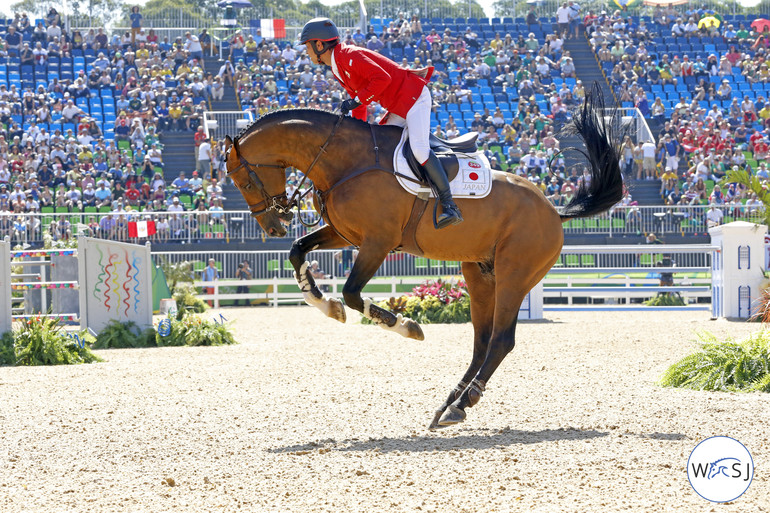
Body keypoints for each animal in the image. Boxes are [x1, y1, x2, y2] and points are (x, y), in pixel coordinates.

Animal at [224, 89, 624, 428]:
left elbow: (353, 293)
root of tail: (554, 210)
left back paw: (461, 404)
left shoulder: (377, 242)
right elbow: (298, 252)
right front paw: (326, 304)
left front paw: (404, 325)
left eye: (245, 181)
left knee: (501, 341)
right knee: (482, 341)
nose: (275, 225)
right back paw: (449, 403)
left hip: (515, 274)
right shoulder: (345, 234)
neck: (343, 159)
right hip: (480, 274)